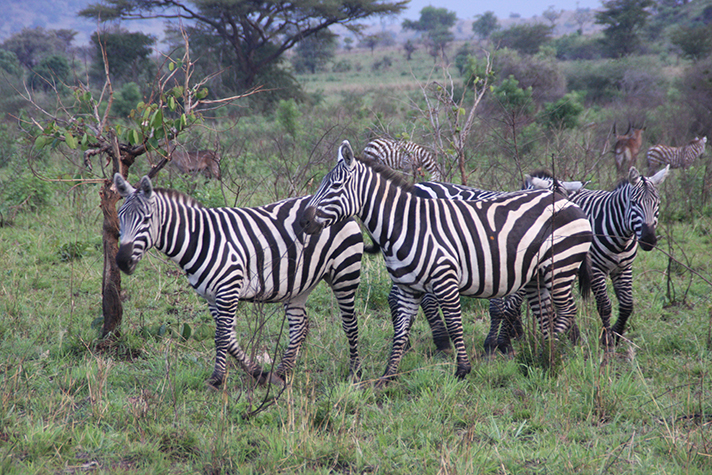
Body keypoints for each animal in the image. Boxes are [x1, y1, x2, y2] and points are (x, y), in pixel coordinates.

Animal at [113, 173, 370, 389]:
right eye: (119, 218)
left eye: (146, 219)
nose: (122, 261)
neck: (201, 239)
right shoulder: (211, 296)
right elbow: (230, 339)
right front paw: (260, 374)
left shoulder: (228, 289)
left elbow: (221, 337)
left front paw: (217, 379)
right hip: (299, 282)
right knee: (300, 324)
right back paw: (283, 372)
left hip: (345, 272)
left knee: (350, 323)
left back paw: (355, 373)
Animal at [300, 141, 593, 385]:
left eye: (335, 186)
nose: (304, 220)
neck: (407, 224)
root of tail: (567, 203)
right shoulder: (407, 288)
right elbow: (400, 330)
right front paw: (387, 376)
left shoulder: (446, 279)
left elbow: (456, 321)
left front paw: (463, 369)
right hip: (537, 275)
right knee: (547, 312)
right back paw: (546, 354)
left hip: (559, 267)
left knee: (566, 309)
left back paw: (548, 354)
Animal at [492, 166, 670, 348]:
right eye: (634, 203)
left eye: (657, 204)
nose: (649, 240)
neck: (620, 236)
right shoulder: (596, 269)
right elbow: (604, 306)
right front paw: (607, 339)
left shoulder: (623, 268)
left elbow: (627, 305)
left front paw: (616, 334)